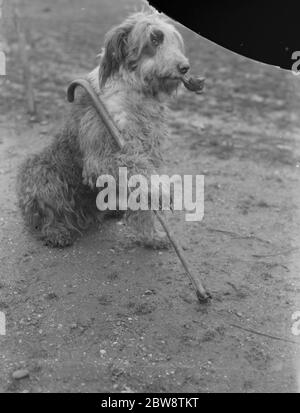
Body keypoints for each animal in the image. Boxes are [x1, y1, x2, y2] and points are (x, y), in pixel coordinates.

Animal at [15, 10, 190, 248]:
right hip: (42, 172)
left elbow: (143, 196)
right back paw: (56, 232)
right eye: (155, 38)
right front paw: (161, 189)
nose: (185, 68)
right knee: (45, 215)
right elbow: (136, 166)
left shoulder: (149, 152)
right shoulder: (100, 157)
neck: (136, 94)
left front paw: (151, 236)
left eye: (174, 40)